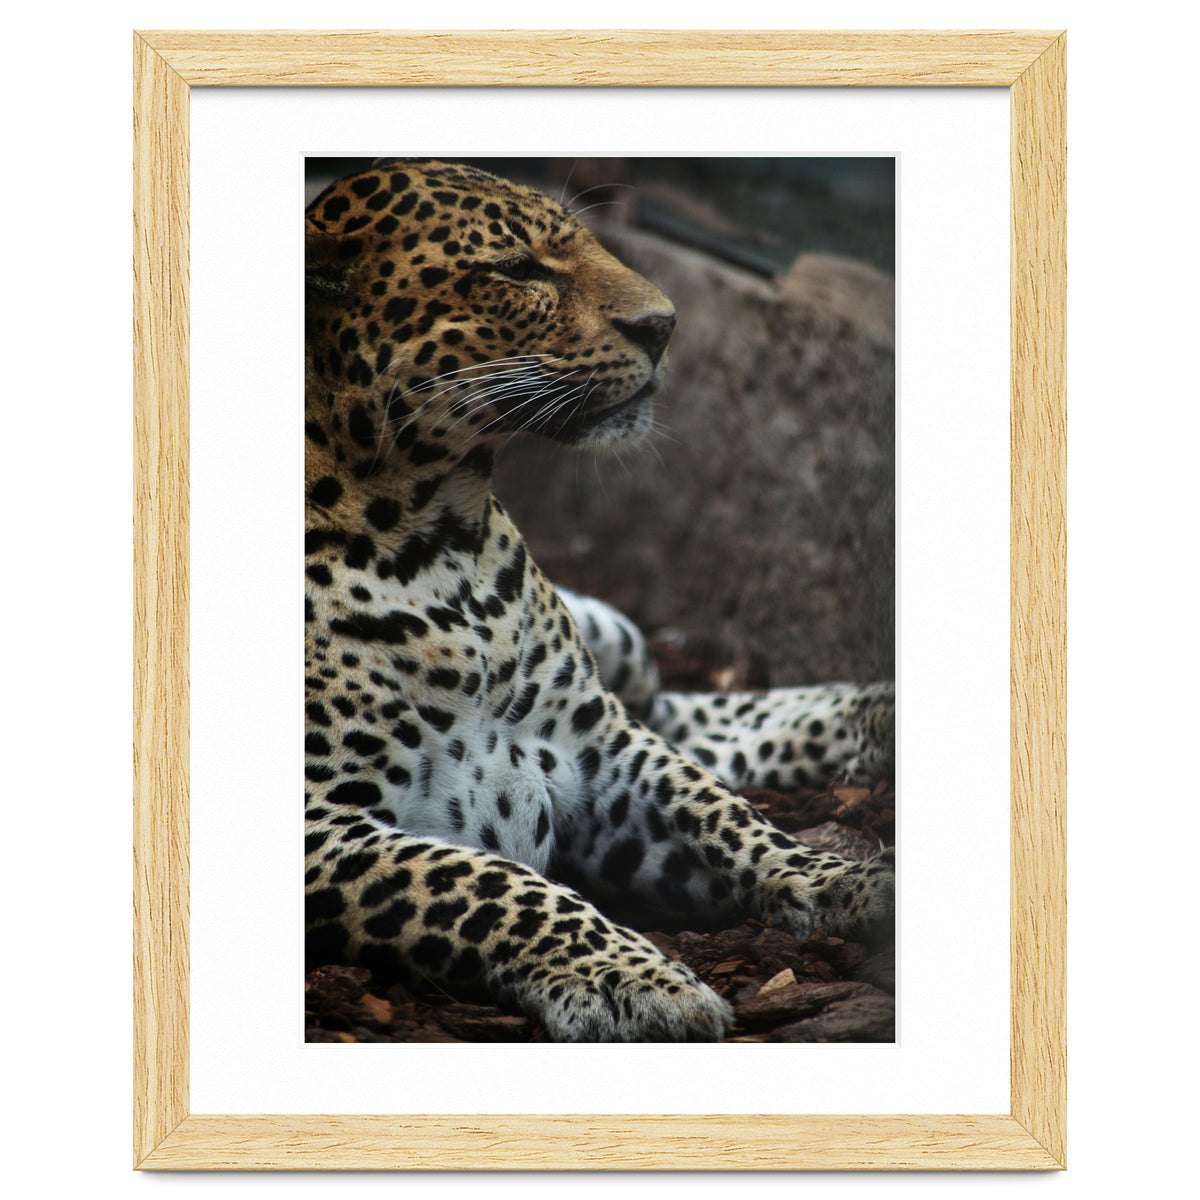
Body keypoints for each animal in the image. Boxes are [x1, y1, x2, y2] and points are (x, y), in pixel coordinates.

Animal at [304, 159, 895, 1041]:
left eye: (583, 242)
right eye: (517, 269)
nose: (665, 324)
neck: (439, 540)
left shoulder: (598, 746)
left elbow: (724, 814)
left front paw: (846, 881)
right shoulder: (320, 826)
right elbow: (490, 884)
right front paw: (635, 981)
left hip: (619, 650)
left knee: (681, 715)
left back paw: (877, 714)